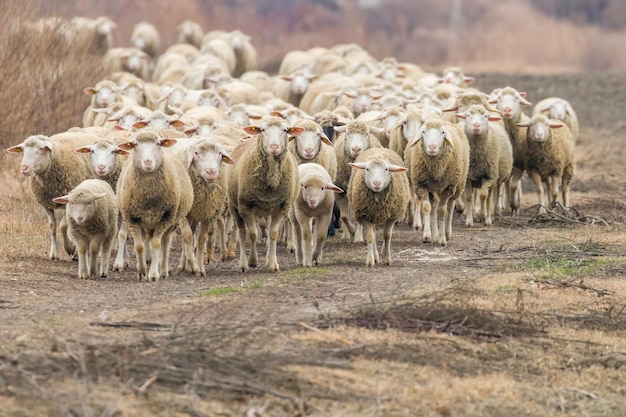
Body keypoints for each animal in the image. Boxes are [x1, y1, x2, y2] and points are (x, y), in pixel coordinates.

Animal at [116, 130, 196, 280]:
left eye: (158, 143)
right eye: (135, 144)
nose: (148, 162)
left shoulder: (165, 218)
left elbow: (156, 244)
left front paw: (153, 274)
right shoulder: (131, 219)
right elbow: (139, 246)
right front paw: (141, 271)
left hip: (172, 222)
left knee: (165, 244)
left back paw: (163, 270)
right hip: (146, 223)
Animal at [225, 116, 304, 272]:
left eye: (285, 130)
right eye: (262, 130)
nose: (274, 147)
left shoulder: (282, 206)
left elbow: (273, 234)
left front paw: (272, 264)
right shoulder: (246, 206)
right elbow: (252, 234)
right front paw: (252, 261)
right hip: (235, 206)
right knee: (242, 232)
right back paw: (243, 263)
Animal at [404, 117, 468, 245]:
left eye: (442, 132)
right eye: (423, 132)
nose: (432, 147)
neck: (435, 170)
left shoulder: (448, 188)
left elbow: (442, 211)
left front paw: (442, 239)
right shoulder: (421, 185)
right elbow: (426, 208)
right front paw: (427, 235)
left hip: (458, 186)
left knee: (450, 207)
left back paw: (447, 233)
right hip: (432, 189)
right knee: (433, 207)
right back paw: (434, 235)